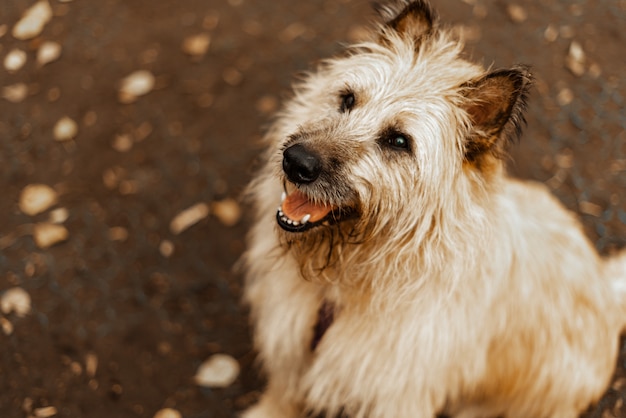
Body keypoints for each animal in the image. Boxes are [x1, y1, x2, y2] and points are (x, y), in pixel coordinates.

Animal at [239, 1, 624, 416]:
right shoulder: (291, 337)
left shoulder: (393, 391)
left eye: (398, 141)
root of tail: (606, 285)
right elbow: (283, 391)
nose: (296, 162)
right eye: (347, 99)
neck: (343, 282)